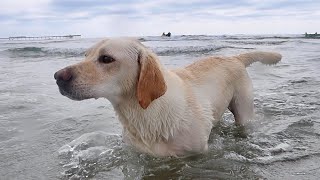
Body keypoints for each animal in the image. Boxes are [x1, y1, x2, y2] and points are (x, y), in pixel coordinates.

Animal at [53, 37, 282, 156]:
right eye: (85, 56)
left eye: (106, 58)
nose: (57, 76)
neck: (147, 114)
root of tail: (234, 57)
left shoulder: (197, 154)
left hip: (244, 111)